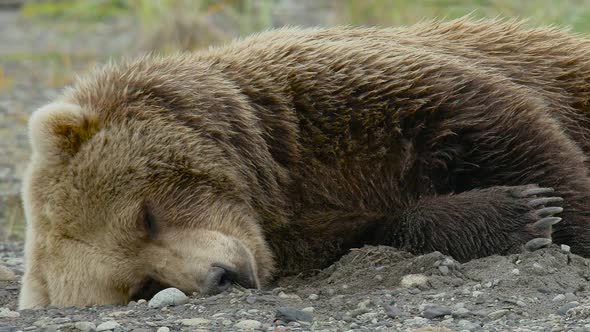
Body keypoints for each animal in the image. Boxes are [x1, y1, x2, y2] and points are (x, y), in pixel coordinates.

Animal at [18, 17, 590, 308]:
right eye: (144, 285)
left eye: (145, 215)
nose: (221, 275)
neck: (277, 176)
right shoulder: (311, 228)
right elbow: (385, 228)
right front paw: (517, 214)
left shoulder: (335, 100)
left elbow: (503, 126)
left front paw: (555, 212)